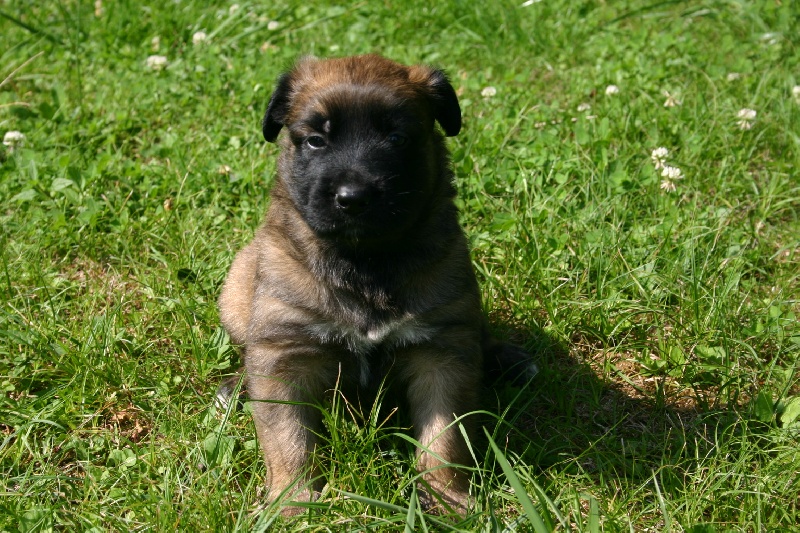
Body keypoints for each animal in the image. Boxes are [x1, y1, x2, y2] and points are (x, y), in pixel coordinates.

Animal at [218, 54, 536, 515]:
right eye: (316, 141)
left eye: (397, 138)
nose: (353, 198)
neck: (365, 261)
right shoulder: (284, 353)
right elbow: (287, 437)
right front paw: (292, 502)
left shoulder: (442, 352)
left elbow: (445, 438)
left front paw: (447, 498)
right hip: (238, 288)